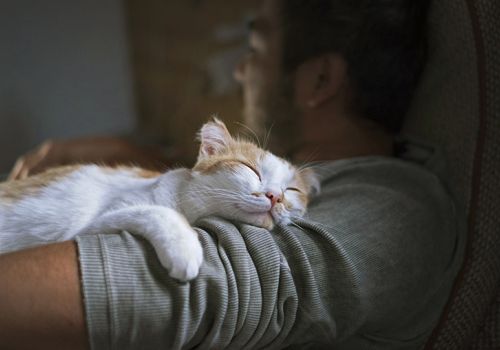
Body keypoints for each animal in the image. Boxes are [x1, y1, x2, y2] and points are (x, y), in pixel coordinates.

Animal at [0, 119, 318, 280]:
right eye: (250, 169)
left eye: (292, 191)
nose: (275, 196)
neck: (186, 201)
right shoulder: (93, 224)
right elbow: (159, 212)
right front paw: (185, 251)